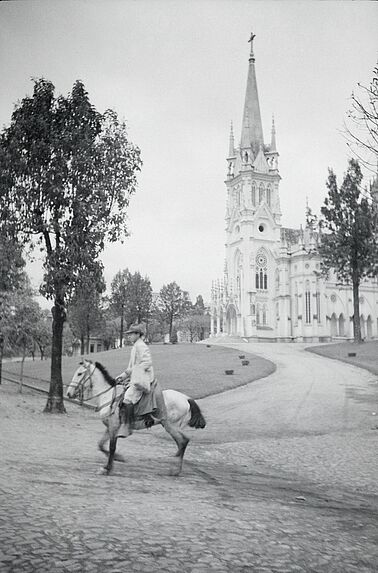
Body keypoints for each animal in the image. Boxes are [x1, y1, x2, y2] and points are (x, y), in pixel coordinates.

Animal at [66, 360, 205, 476]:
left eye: (79, 374)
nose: (68, 393)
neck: (109, 395)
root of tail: (186, 398)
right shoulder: (109, 427)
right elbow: (101, 445)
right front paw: (117, 458)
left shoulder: (114, 427)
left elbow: (111, 447)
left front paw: (108, 468)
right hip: (172, 427)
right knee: (182, 442)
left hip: (170, 426)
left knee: (183, 442)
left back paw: (175, 470)